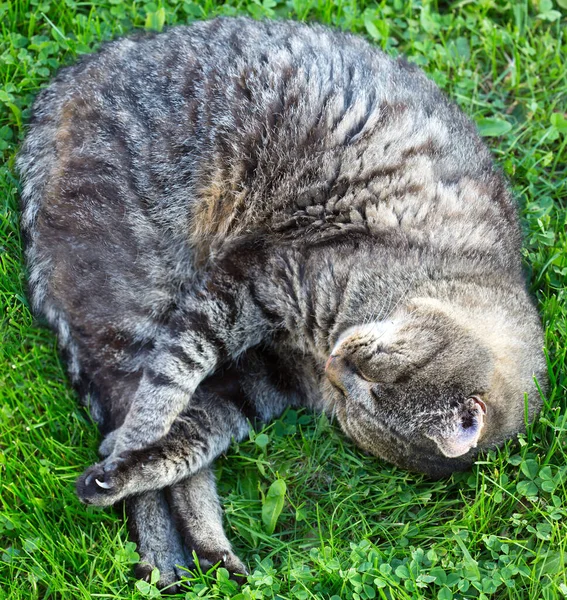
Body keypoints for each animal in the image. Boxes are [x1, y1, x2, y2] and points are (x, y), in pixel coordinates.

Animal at [15, 16, 548, 588]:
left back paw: (195, 556)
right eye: (370, 371)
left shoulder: (256, 380)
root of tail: (65, 82)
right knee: (130, 402)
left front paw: (141, 471)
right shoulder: (260, 278)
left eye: (354, 403)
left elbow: (185, 444)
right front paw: (141, 437)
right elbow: (174, 378)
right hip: (137, 294)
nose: (336, 364)